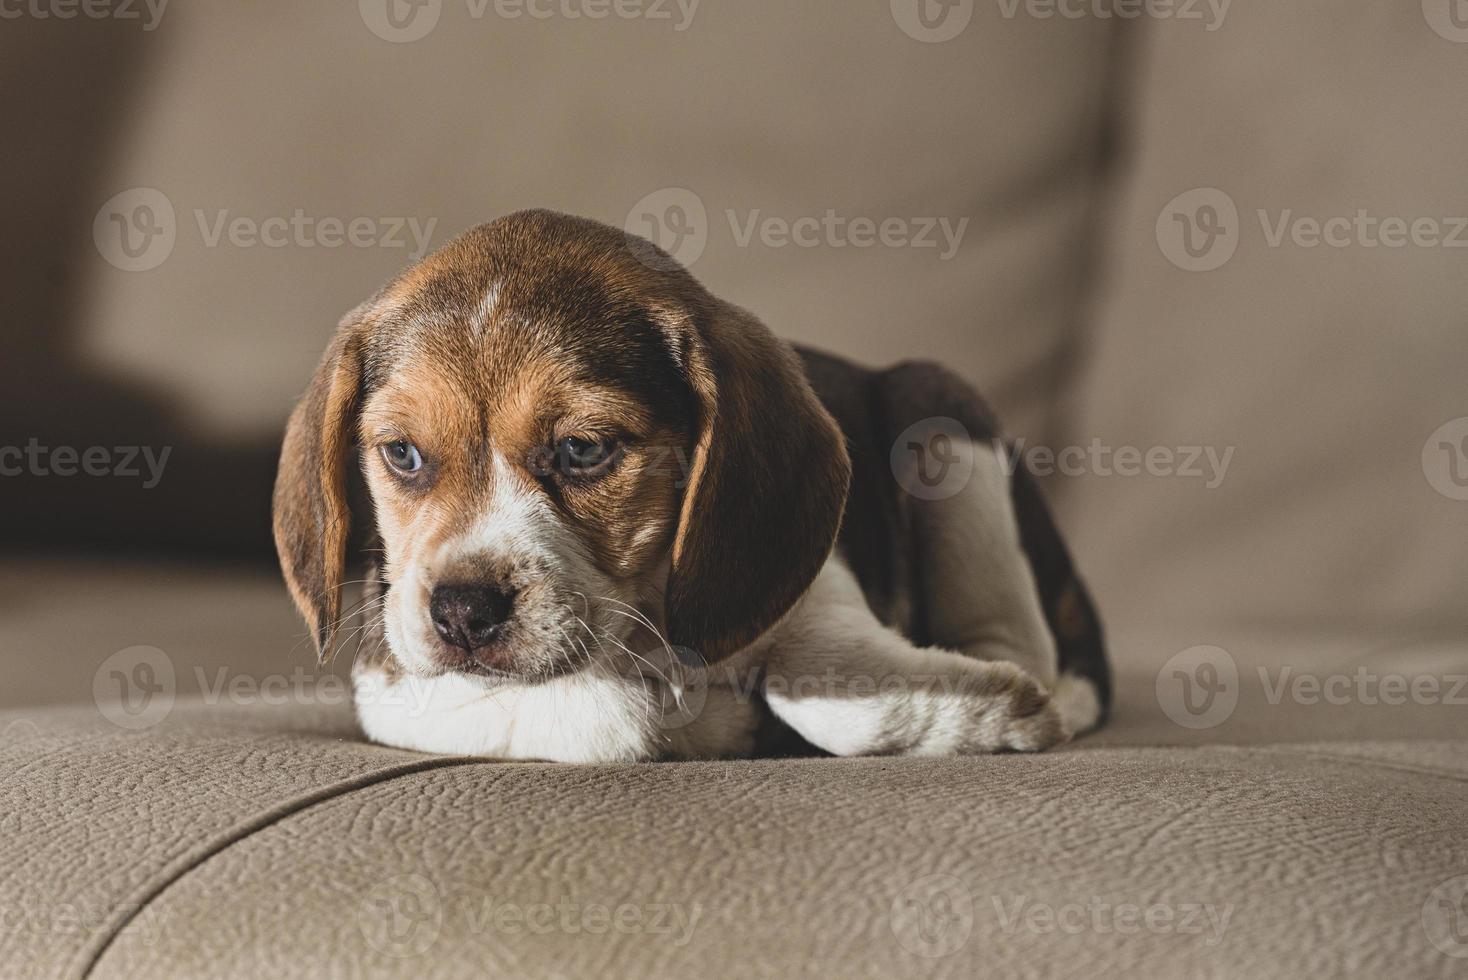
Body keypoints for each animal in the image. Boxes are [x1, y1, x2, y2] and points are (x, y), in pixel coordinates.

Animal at [273, 211, 1109, 762]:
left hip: (941, 416)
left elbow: (817, 680)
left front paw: (982, 711)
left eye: (583, 450)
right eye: (403, 454)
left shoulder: (822, 581)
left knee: (1032, 641)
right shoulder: (397, 687)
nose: (462, 612)